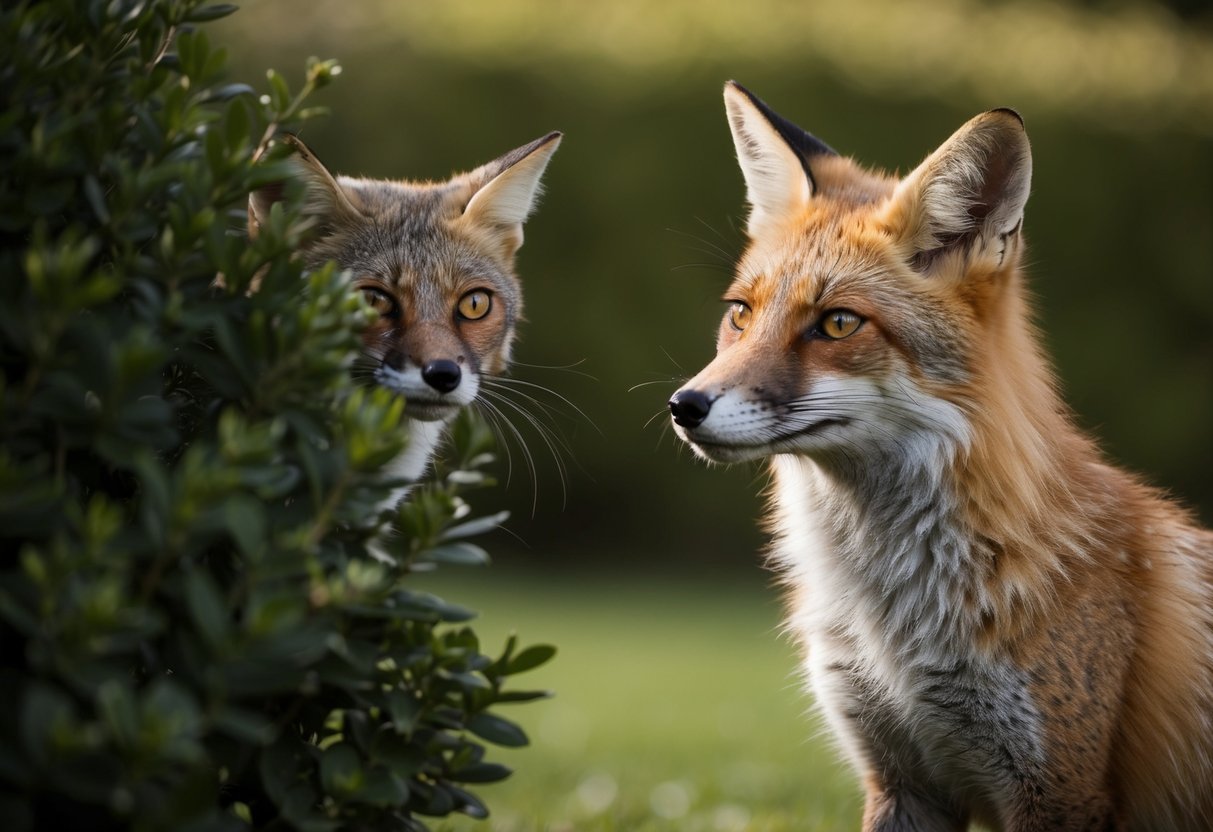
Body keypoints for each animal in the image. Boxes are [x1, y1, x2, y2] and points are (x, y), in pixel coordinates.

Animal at [669, 81, 1213, 830]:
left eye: (838, 322)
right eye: (741, 314)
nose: (684, 405)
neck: (895, 626)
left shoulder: (1057, 791)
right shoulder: (899, 779)